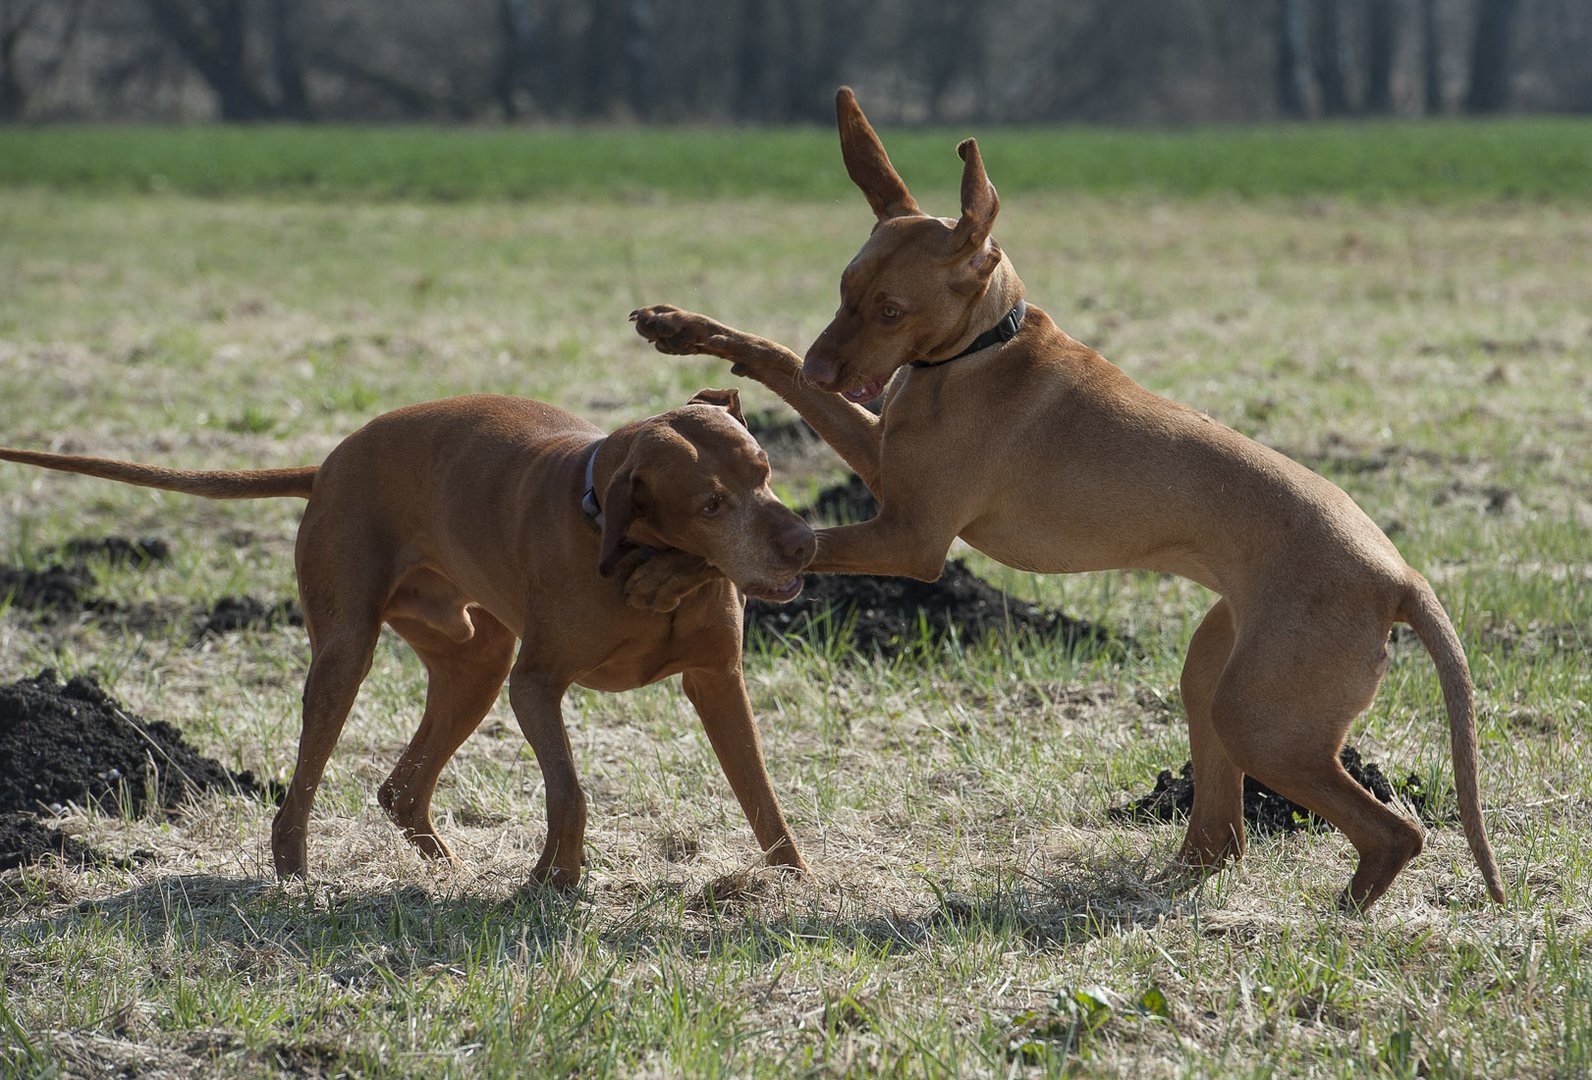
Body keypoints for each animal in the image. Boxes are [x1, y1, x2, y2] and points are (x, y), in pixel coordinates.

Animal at [0, 388, 815, 885]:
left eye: (765, 469)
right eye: (710, 503)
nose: (804, 544)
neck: (642, 555)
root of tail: (329, 462)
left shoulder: (718, 681)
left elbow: (761, 795)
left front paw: (795, 883)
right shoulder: (535, 689)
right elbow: (571, 793)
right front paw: (554, 881)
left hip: (475, 661)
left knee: (399, 787)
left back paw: (441, 864)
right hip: (347, 656)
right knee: (303, 785)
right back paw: (296, 875)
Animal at [624, 86, 1502, 911]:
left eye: (891, 311)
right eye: (845, 289)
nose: (825, 368)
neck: (983, 347)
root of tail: (1398, 575)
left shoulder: (910, 537)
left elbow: (805, 541)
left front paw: (667, 571)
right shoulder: (878, 456)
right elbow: (769, 356)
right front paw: (686, 328)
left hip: (1269, 721)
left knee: (1393, 832)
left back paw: (1337, 915)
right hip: (1218, 675)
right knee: (1224, 834)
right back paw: (1164, 885)